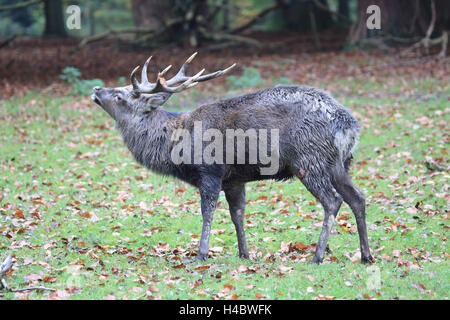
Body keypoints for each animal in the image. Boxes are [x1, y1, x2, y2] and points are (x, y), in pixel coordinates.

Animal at [90, 53, 372, 264]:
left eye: (120, 96)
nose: (96, 88)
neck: (175, 142)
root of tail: (349, 125)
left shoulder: (210, 171)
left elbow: (207, 212)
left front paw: (201, 254)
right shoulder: (234, 179)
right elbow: (237, 213)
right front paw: (244, 253)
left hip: (308, 158)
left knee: (333, 201)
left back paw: (317, 256)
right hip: (338, 163)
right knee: (358, 198)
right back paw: (366, 255)